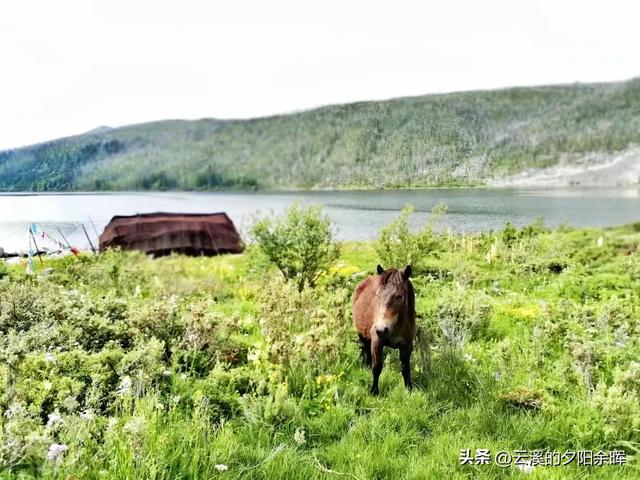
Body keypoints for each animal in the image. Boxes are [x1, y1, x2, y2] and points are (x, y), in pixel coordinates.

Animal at [352, 264, 418, 396]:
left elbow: (406, 369)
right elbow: (377, 367)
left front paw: (409, 390)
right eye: (378, 294)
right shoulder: (377, 341)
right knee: (366, 351)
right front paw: (374, 391)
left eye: (399, 296)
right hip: (362, 335)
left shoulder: (407, 346)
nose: (381, 329)